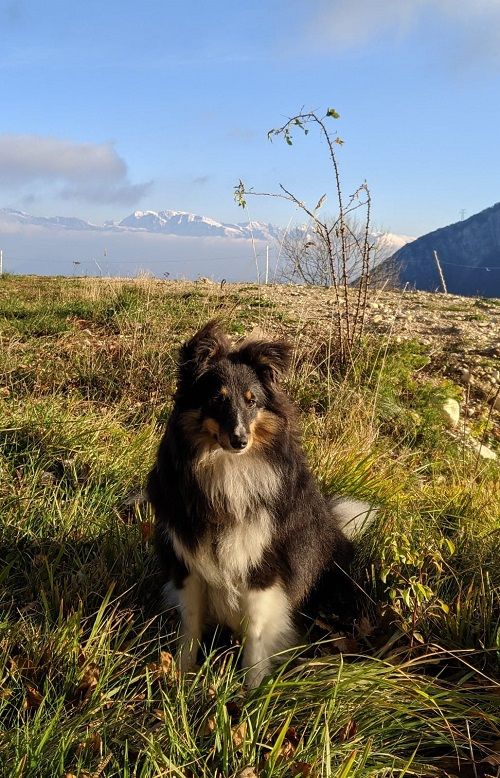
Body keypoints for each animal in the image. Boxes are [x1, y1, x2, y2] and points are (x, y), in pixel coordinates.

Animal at [146, 320, 374, 684]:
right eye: (216, 399)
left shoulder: (263, 567)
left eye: (252, 401)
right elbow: (190, 624)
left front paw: (252, 688)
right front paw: (180, 675)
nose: (240, 440)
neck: (228, 469)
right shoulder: (187, 562)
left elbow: (255, 633)